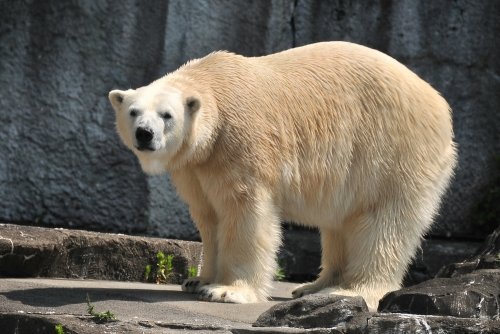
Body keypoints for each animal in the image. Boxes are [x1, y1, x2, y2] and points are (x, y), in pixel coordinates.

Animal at [109, 41, 458, 310]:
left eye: (167, 115)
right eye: (133, 111)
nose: (144, 134)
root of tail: (438, 102)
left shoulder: (240, 143)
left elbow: (245, 213)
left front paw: (226, 290)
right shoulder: (196, 167)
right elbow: (209, 216)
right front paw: (198, 280)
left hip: (393, 153)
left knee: (383, 223)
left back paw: (350, 290)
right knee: (340, 224)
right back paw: (313, 286)